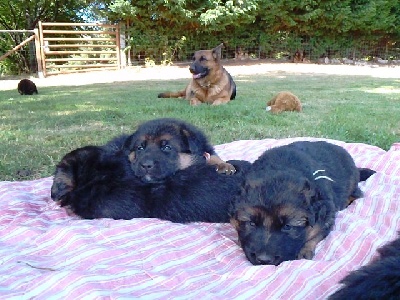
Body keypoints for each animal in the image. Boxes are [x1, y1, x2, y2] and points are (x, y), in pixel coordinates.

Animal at [228, 141, 376, 264]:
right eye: (251, 223)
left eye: (287, 226)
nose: (263, 260)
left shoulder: (326, 216)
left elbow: (315, 234)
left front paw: (305, 251)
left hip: (351, 182)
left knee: (356, 194)